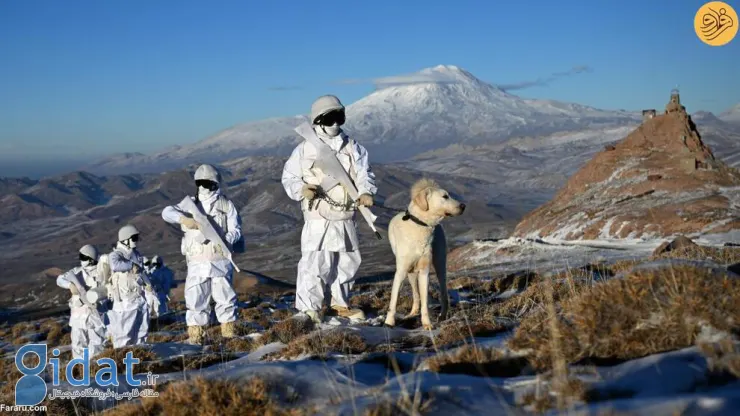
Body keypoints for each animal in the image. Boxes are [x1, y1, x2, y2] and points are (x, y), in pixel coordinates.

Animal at [384, 177, 466, 330]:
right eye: (445, 196)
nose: (463, 206)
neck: (420, 224)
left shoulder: (424, 272)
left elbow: (425, 303)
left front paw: (427, 324)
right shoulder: (400, 272)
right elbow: (393, 301)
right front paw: (389, 322)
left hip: (440, 265)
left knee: (443, 293)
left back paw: (443, 315)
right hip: (410, 273)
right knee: (416, 294)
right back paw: (412, 312)